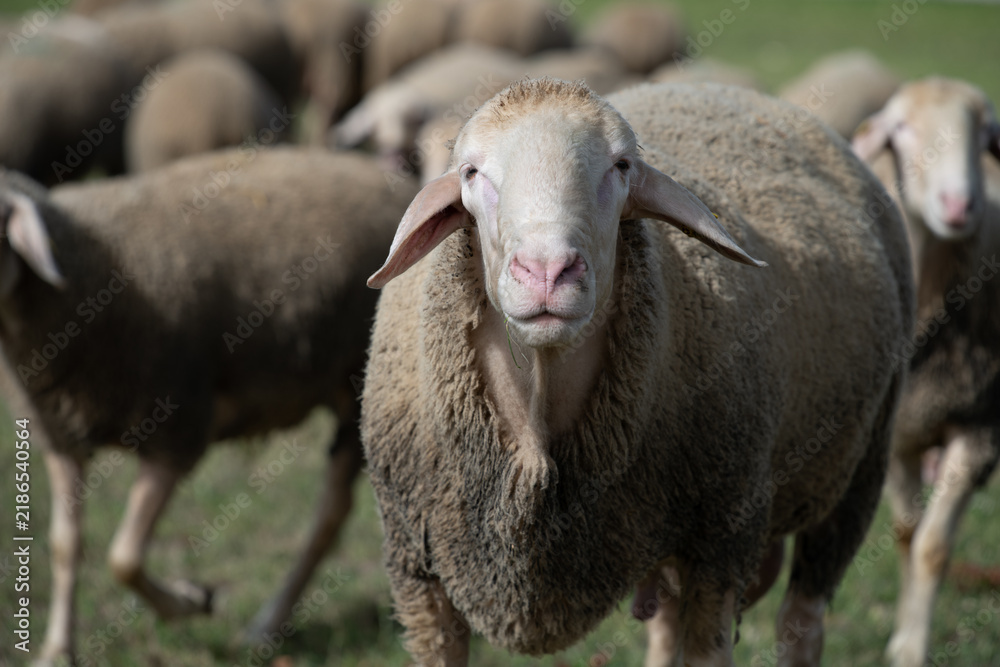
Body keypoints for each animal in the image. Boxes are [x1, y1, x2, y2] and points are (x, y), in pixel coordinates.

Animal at [0, 147, 420, 663]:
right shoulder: (60, 434)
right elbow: (64, 545)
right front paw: (57, 649)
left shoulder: (178, 427)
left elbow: (124, 557)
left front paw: (190, 602)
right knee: (336, 509)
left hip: (363, 390)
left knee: (331, 512)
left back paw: (264, 624)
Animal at [360, 78, 914, 666]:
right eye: (470, 172)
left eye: (621, 166)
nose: (547, 273)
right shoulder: (416, 573)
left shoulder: (721, 543)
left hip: (859, 468)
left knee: (802, 621)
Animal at [851, 76, 1000, 667]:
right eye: (902, 130)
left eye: (984, 134)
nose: (960, 204)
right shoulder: (897, 438)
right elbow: (906, 538)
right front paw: (902, 640)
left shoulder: (978, 432)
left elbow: (934, 548)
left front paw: (915, 647)